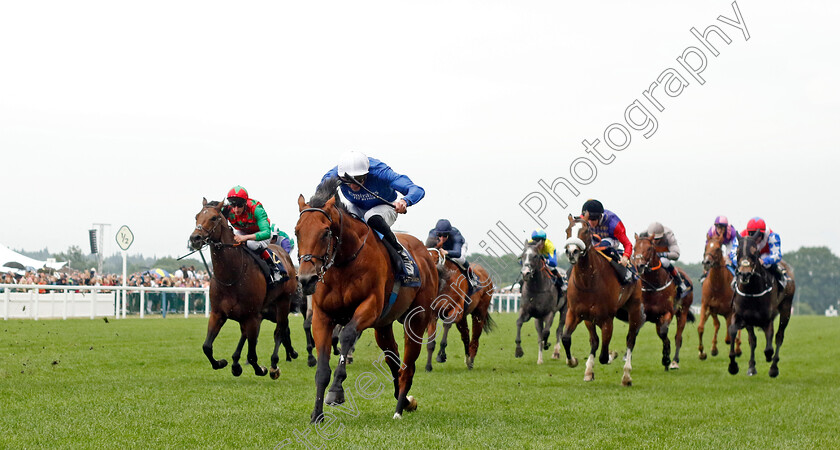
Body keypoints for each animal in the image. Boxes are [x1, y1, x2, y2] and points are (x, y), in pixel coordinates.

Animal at [189, 199, 300, 378]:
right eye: (196, 216)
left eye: (213, 218)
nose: (195, 238)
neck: (231, 277)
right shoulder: (218, 313)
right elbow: (206, 347)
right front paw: (222, 362)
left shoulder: (253, 316)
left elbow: (253, 354)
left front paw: (261, 369)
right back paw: (236, 363)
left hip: (283, 302)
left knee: (280, 331)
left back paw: (274, 365)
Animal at [296, 178, 440, 422]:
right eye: (297, 231)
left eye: (325, 232)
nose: (306, 279)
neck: (344, 262)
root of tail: (427, 254)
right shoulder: (322, 316)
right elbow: (322, 369)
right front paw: (317, 414)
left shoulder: (369, 306)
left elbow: (346, 336)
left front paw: (336, 391)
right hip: (383, 326)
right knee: (393, 358)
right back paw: (405, 400)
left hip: (416, 320)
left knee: (408, 366)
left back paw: (399, 408)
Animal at [560, 214, 648, 384]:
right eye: (567, 230)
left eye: (585, 231)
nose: (572, 251)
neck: (588, 282)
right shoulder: (575, 313)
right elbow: (566, 338)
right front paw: (573, 361)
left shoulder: (607, 319)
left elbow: (604, 355)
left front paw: (612, 355)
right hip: (589, 319)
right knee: (594, 341)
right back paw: (589, 371)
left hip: (634, 308)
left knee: (630, 339)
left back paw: (626, 376)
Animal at [632, 236, 696, 370]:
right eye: (634, 248)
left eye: (649, 248)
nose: (639, 265)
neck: (653, 286)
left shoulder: (667, 313)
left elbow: (663, 333)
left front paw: (666, 358)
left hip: (682, 312)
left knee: (678, 337)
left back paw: (674, 361)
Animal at [728, 234, 796, 378]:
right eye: (737, 252)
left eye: (755, 252)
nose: (744, 274)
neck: (752, 291)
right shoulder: (741, 315)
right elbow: (734, 331)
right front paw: (733, 366)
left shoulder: (767, 319)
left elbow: (769, 347)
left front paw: (769, 358)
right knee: (752, 340)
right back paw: (752, 367)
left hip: (786, 309)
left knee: (779, 337)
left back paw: (773, 368)